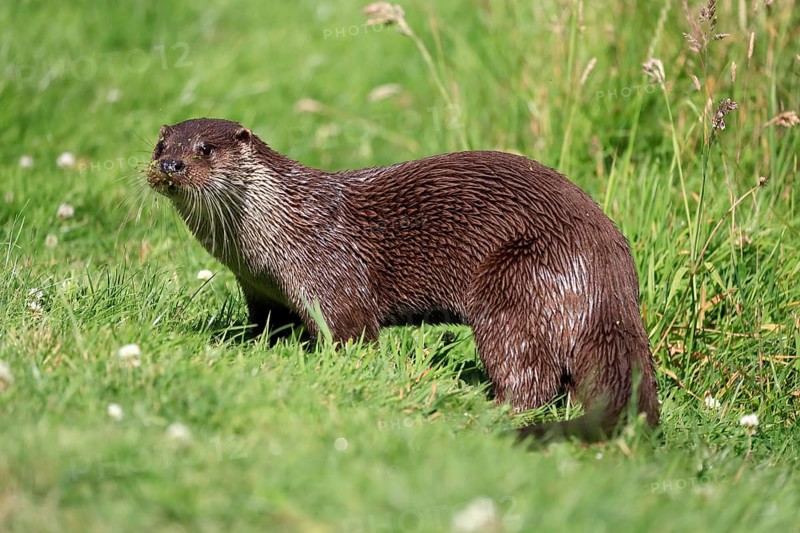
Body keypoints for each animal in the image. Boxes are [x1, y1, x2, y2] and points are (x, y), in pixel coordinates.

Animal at [147, 117, 659, 442]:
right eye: (161, 147)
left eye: (205, 149)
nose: (170, 167)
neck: (282, 229)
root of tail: (608, 266)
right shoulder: (260, 290)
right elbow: (267, 328)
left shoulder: (329, 274)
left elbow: (351, 334)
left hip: (515, 283)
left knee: (529, 374)